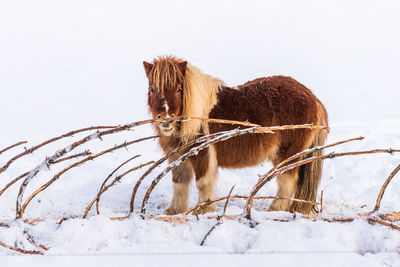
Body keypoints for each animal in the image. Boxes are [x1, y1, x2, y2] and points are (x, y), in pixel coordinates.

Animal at [144, 56, 328, 216]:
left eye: (178, 89)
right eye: (152, 89)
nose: (166, 120)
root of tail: (313, 98)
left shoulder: (203, 155)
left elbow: (203, 182)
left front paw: (203, 210)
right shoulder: (178, 158)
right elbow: (179, 183)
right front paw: (174, 210)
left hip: (287, 154)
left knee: (287, 180)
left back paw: (275, 208)